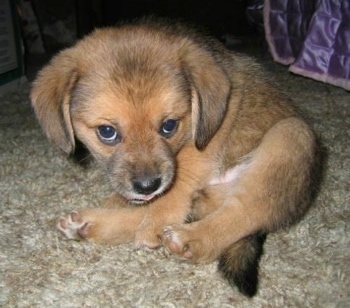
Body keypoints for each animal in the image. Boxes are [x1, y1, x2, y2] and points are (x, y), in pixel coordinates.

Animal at [30, 19, 320, 296]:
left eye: (169, 125)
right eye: (107, 132)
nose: (147, 186)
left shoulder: (208, 135)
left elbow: (182, 174)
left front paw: (159, 214)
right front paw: (123, 203)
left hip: (291, 136)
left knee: (244, 212)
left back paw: (192, 239)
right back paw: (89, 224)